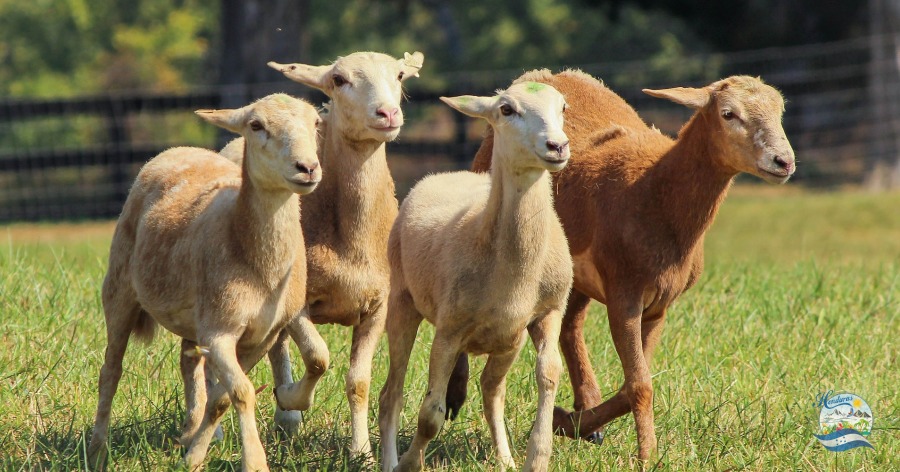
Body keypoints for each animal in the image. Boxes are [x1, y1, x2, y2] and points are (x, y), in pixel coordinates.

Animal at [87, 93, 324, 472]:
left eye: (316, 123)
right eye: (256, 125)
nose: (307, 168)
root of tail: (176, 149)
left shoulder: (262, 336)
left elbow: (223, 397)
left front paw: (194, 455)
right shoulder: (220, 330)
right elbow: (242, 392)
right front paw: (254, 461)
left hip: (192, 315)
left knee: (187, 361)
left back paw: (188, 431)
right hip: (119, 288)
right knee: (110, 371)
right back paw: (97, 451)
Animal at [380, 82, 576, 472]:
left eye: (562, 106)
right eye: (506, 109)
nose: (557, 146)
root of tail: (450, 173)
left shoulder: (549, 312)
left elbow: (549, 373)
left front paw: (536, 457)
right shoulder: (449, 329)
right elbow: (430, 414)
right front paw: (409, 463)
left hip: (510, 340)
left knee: (491, 391)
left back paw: (505, 459)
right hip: (402, 299)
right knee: (391, 392)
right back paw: (387, 459)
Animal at [446, 70, 800, 460]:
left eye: (780, 111)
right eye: (728, 114)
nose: (784, 161)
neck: (656, 195)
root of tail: (547, 74)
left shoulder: (660, 304)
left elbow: (632, 385)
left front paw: (567, 423)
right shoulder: (624, 294)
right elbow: (639, 385)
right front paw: (648, 456)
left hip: (577, 276)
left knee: (571, 327)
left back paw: (585, 408)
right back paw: (454, 395)